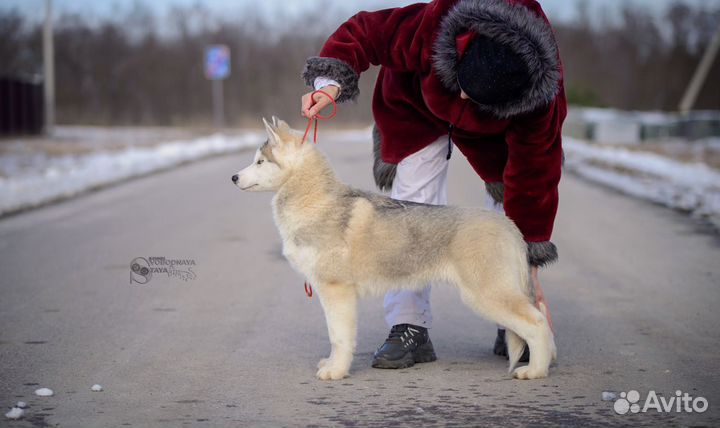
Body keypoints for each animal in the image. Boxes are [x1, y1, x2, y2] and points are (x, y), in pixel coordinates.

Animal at [232, 118, 556, 382]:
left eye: (260, 161)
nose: (233, 178)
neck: (315, 200)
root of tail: (510, 225)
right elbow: (337, 338)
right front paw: (332, 365)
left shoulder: (336, 291)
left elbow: (339, 337)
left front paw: (336, 371)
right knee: (541, 315)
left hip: (489, 295)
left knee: (537, 323)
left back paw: (535, 371)